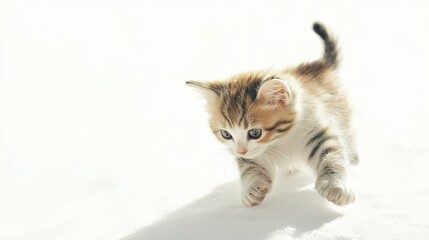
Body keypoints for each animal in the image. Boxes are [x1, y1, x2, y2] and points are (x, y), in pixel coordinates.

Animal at [186, 22, 356, 206]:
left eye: (255, 133)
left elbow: (332, 154)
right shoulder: (250, 154)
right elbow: (250, 166)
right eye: (226, 134)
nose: (241, 151)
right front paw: (253, 188)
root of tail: (319, 65)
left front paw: (336, 186)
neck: (279, 140)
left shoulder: (316, 129)